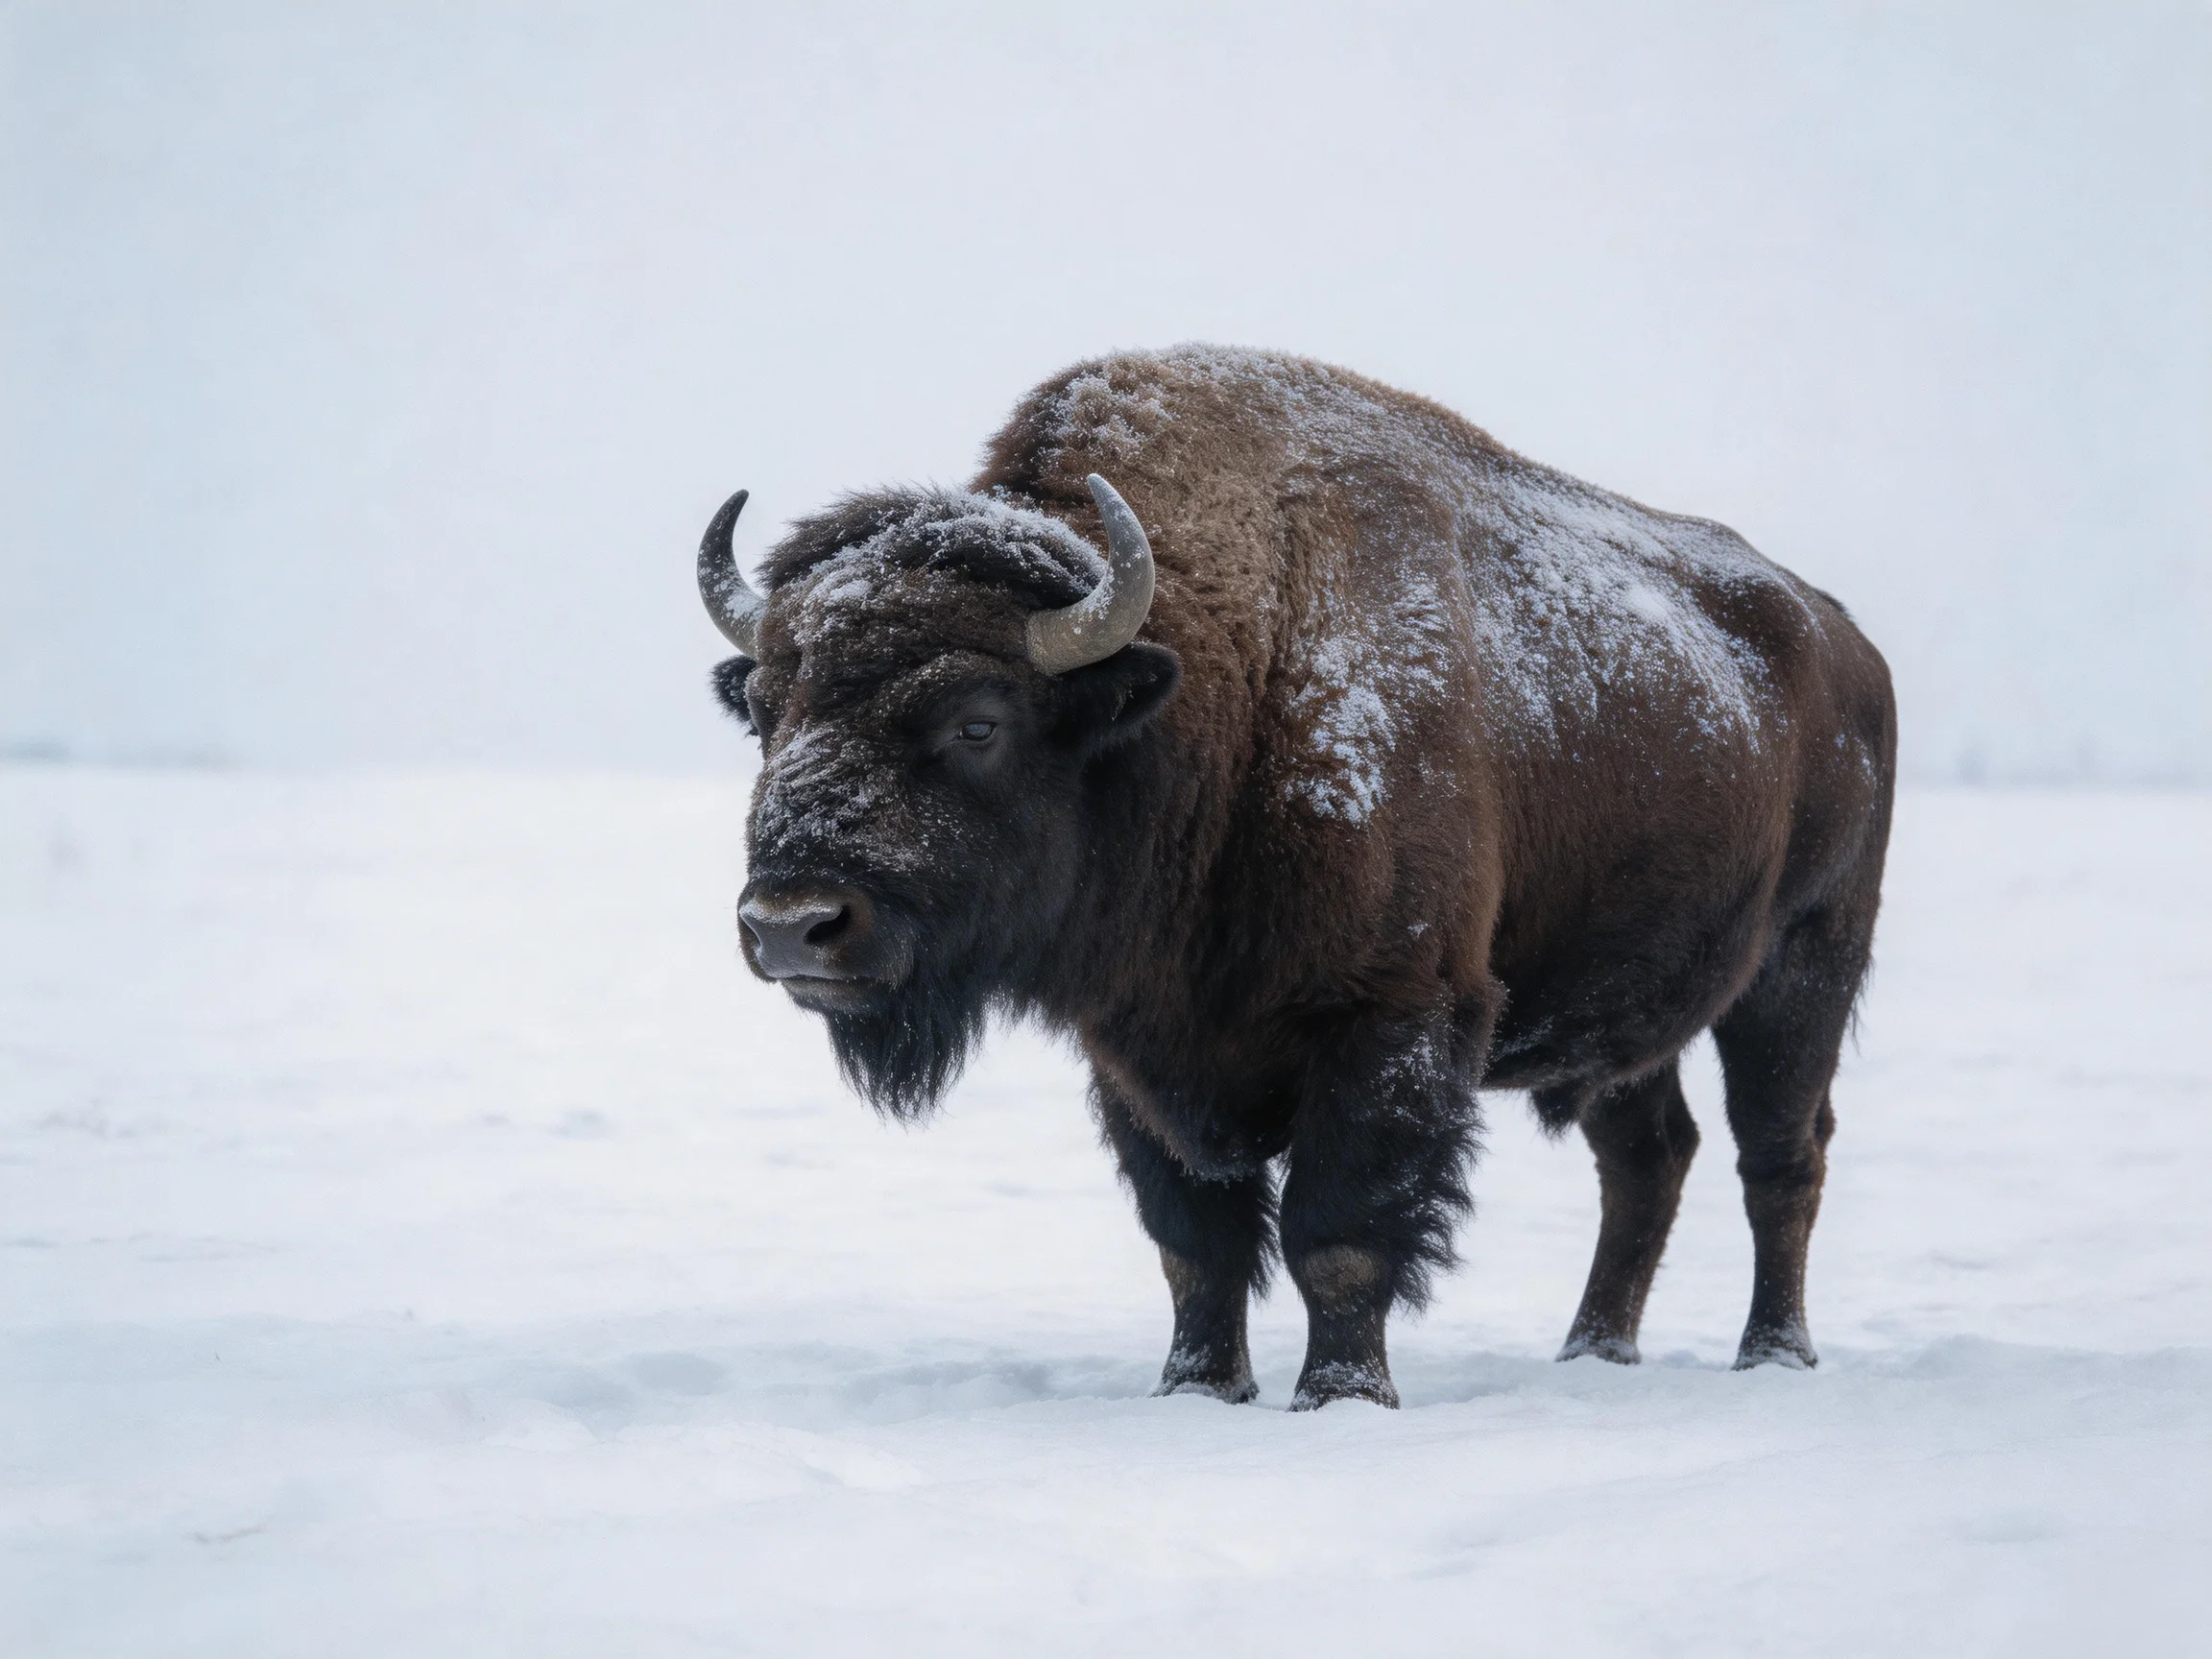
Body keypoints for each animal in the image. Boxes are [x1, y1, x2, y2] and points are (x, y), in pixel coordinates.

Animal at [699, 346, 1895, 1408]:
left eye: (977, 722)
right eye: (763, 709)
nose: (792, 924)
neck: (1225, 681)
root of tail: (1844, 641)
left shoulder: (1391, 1023)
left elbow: (1339, 1240)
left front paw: (1343, 1397)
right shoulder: (1139, 1055)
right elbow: (1197, 1245)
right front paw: (1197, 1390)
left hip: (1802, 970)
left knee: (1779, 1157)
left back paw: (1772, 1356)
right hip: (1627, 1021)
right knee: (1648, 1161)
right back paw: (1593, 1354)